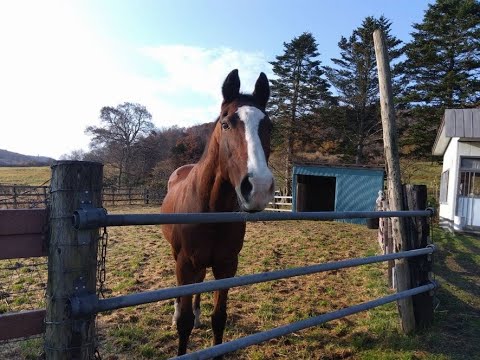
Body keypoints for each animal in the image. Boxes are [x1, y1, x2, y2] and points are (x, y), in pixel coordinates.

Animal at [161, 69, 274, 356]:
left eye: (269, 126)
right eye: (226, 124)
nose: (258, 187)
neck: (210, 210)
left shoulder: (226, 266)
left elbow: (219, 318)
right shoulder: (185, 263)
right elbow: (184, 324)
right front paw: (181, 320)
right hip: (178, 256)